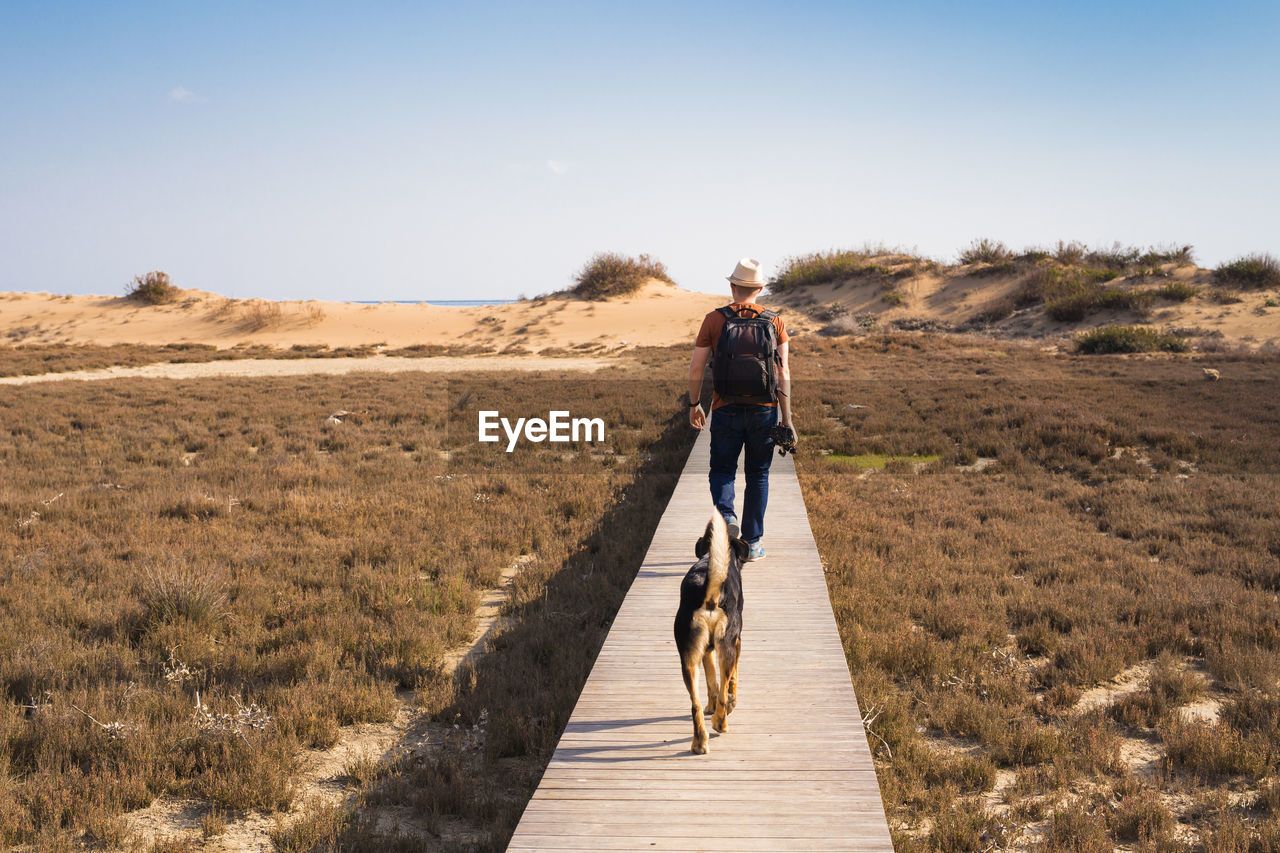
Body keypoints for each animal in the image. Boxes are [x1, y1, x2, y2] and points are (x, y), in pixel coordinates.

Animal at [670, 507, 747, 747]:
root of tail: (710, 594)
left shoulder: (706, 651)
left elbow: (712, 682)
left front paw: (711, 707)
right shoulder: (737, 643)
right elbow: (731, 681)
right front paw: (732, 702)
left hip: (688, 659)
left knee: (695, 703)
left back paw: (699, 742)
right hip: (728, 648)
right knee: (723, 692)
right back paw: (721, 723)